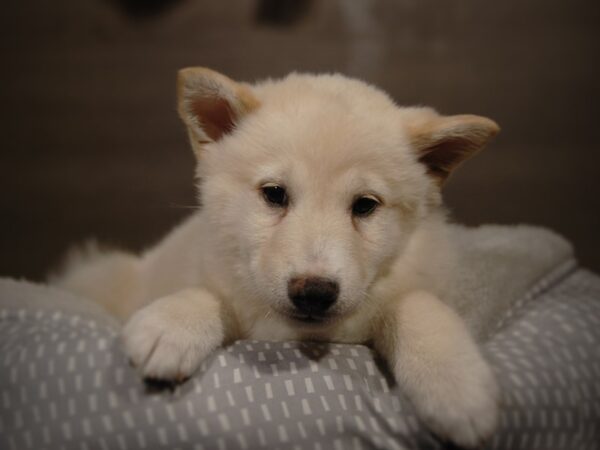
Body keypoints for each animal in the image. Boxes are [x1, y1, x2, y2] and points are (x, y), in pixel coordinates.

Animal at [56, 68, 500, 448]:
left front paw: (456, 384)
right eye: (274, 194)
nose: (314, 292)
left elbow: (416, 305)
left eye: (365, 206)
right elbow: (210, 295)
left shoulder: (412, 284)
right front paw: (172, 324)